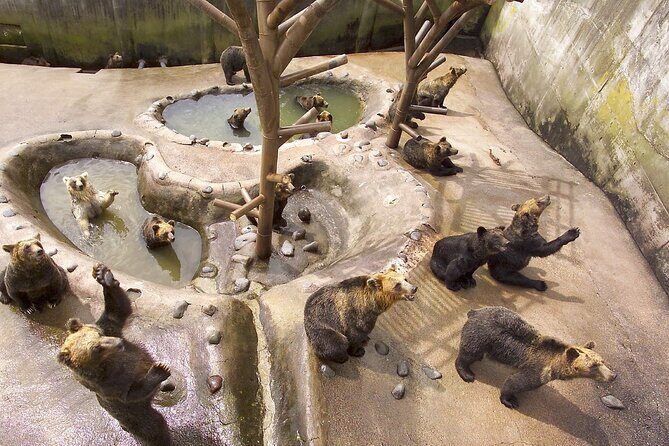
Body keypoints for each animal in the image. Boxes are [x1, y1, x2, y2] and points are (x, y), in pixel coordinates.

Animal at [58, 264, 172, 446]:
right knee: (152, 427)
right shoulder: (108, 384)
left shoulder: (110, 328)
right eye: (96, 349)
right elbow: (130, 392)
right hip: (133, 413)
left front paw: (103, 275)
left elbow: (118, 310)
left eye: (99, 335)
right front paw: (159, 370)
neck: (106, 363)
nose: (119, 343)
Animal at [456, 306, 616, 409]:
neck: (556, 364)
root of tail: (475, 312)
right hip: (481, 336)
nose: (613, 375)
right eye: (593, 366)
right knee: (469, 352)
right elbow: (516, 382)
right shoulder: (538, 370)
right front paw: (510, 400)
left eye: (602, 361)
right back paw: (467, 373)